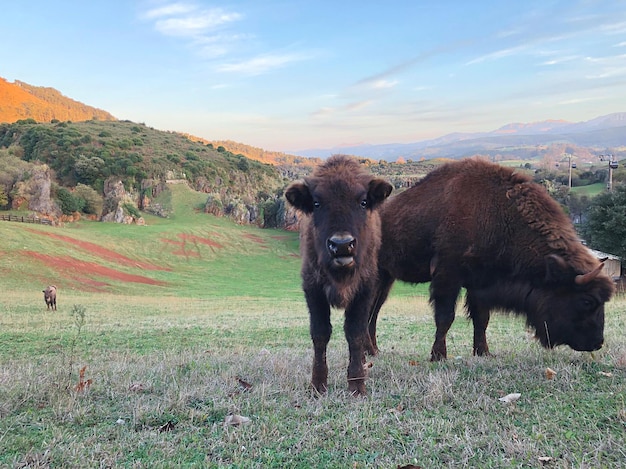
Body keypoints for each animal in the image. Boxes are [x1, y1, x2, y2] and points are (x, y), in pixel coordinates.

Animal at [284, 155, 390, 394]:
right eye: (316, 203)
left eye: (363, 202)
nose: (341, 245)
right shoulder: (313, 289)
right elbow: (320, 333)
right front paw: (318, 385)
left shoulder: (364, 290)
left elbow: (355, 332)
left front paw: (357, 385)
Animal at [368, 159, 612, 360]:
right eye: (587, 301)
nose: (597, 343)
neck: (497, 213)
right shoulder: (448, 276)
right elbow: (446, 317)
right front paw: (438, 356)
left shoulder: (481, 283)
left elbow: (481, 319)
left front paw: (483, 352)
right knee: (370, 312)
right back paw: (371, 351)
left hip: (386, 279)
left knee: (373, 312)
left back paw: (374, 351)